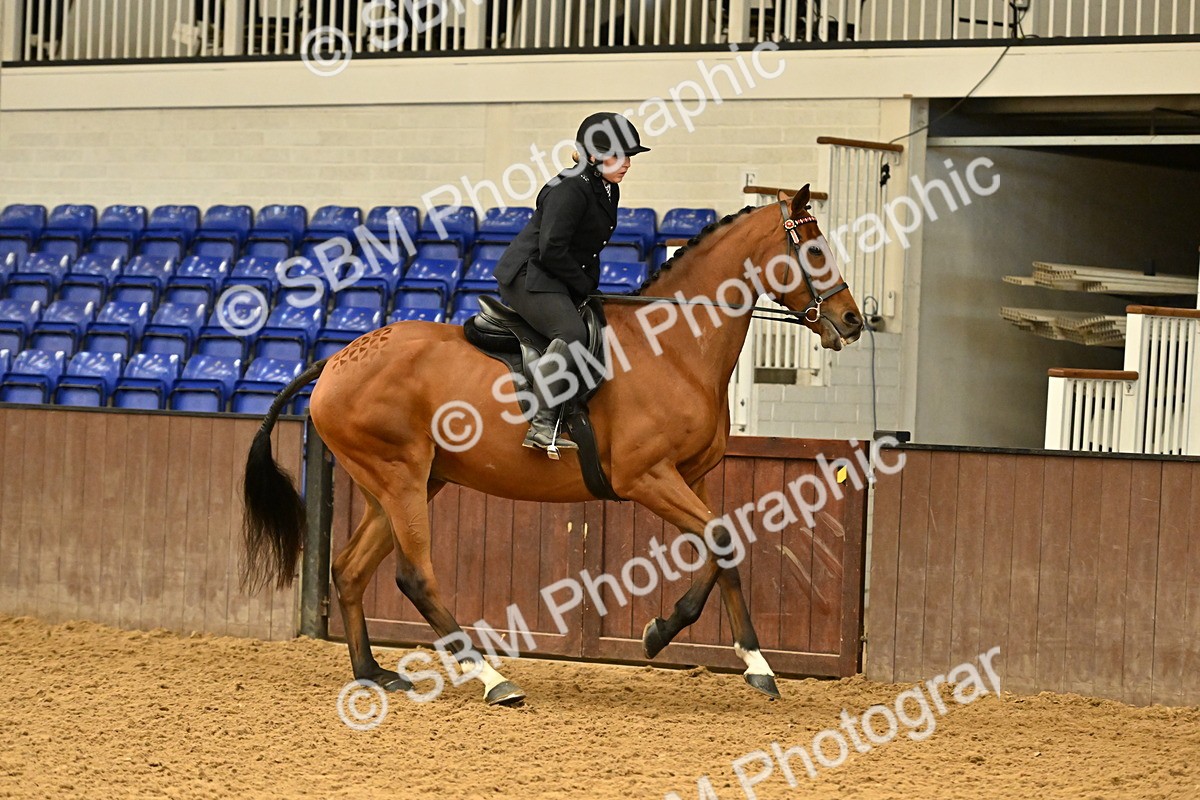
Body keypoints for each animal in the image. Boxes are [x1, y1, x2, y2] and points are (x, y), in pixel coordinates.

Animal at [240, 186, 863, 705]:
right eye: (813, 250)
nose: (853, 320)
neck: (675, 348)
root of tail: (335, 361)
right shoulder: (647, 478)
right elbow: (721, 541)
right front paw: (689, 640)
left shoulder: (694, 476)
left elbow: (724, 547)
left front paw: (728, 653)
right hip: (400, 480)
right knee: (414, 577)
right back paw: (493, 679)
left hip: (399, 486)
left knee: (348, 570)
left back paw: (372, 673)